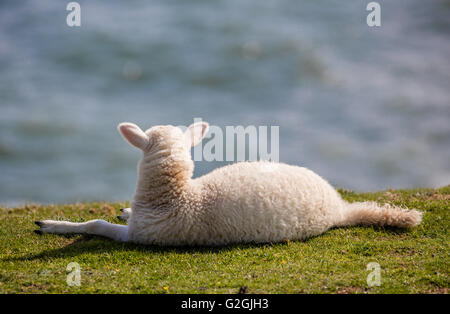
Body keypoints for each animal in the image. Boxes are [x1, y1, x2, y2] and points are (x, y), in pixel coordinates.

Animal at [34, 121, 422, 247]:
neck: (180, 196)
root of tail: (341, 208)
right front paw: (125, 208)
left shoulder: (140, 235)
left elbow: (96, 224)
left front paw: (51, 224)